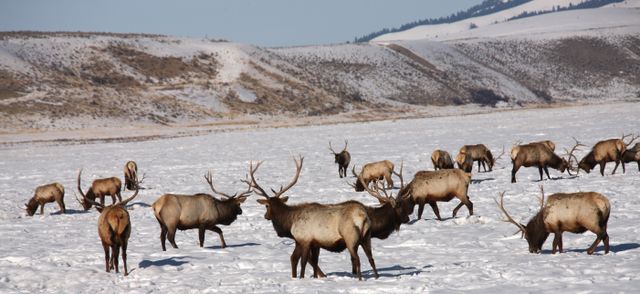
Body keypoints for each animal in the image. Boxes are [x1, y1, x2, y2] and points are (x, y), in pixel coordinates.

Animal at [244, 156, 376, 280]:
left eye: (266, 206)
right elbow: (310, 261)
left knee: (357, 259)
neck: (290, 222)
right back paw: (376, 277)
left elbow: (301, 261)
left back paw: (360, 279)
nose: (265, 216)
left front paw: (301, 277)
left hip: (350, 238)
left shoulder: (304, 239)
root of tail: (362, 216)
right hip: (366, 237)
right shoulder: (315, 243)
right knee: (371, 258)